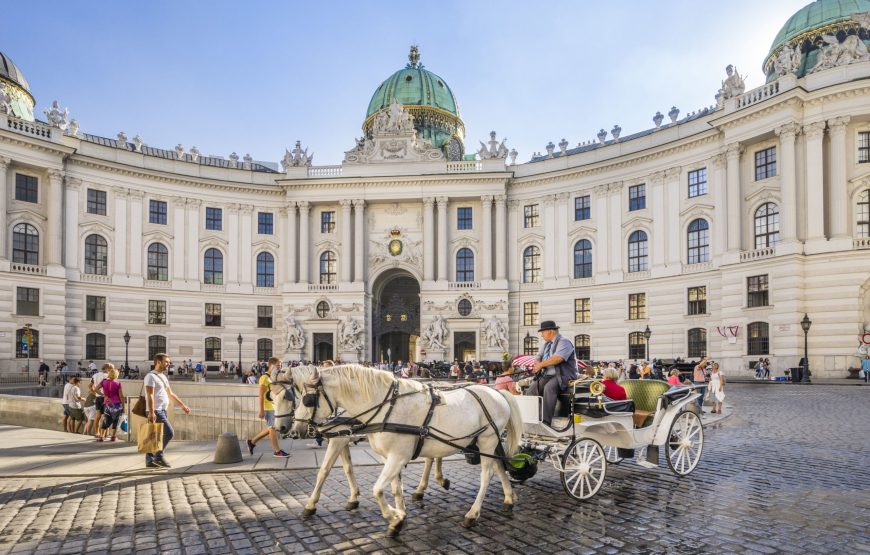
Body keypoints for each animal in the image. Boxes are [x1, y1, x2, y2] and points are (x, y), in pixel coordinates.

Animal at [270, 368, 450, 520]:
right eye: (271, 398)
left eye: (287, 397)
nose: (281, 428)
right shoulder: (341, 438)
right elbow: (348, 468)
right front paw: (353, 498)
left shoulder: (338, 440)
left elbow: (324, 471)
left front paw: (310, 505)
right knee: (434, 457)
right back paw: (434, 482)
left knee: (431, 458)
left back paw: (426, 486)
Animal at [292, 362, 524, 536]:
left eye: (307, 399)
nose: (295, 429)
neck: (385, 406)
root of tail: (497, 391)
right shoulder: (389, 457)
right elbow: (395, 488)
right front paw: (399, 519)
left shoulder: (397, 456)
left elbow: (377, 489)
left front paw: (393, 515)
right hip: (484, 441)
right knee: (499, 466)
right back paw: (508, 499)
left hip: (487, 439)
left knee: (487, 474)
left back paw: (472, 514)